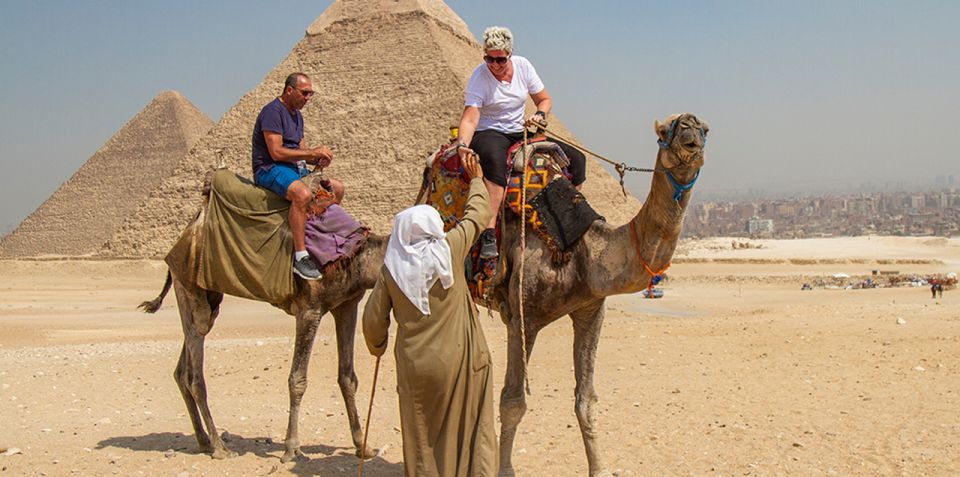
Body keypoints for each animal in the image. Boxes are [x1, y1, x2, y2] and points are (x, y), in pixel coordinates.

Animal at [139, 176, 386, 462]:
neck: (359, 256)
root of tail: (187, 232)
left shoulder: (347, 305)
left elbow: (347, 377)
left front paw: (362, 445)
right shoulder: (309, 309)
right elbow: (297, 379)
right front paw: (291, 448)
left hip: (207, 296)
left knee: (183, 368)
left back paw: (203, 440)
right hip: (189, 287)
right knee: (194, 374)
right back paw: (220, 447)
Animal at [492, 113, 708, 474]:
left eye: (705, 129)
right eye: (667, 129)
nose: (690, 128)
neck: (582, 250)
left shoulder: (591, 310)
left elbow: (586, 401)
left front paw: (600, 467)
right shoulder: (522, 317)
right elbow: (512, 402)